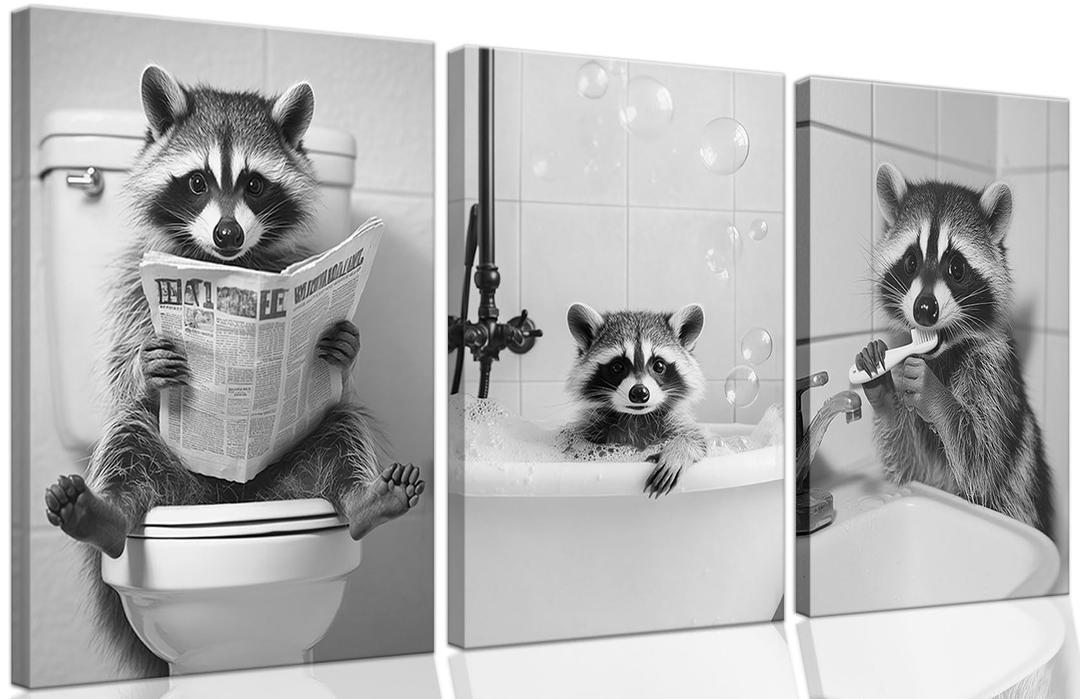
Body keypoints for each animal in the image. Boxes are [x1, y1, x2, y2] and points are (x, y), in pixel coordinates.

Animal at [42, 66, 424, 677]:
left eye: (254, 185)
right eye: (197, 182)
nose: (227, 234)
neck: (226, 267)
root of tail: (230, 503)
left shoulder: (287, 264)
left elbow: (340, 387)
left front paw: (343, 348)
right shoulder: (136, 283)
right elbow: (120, 374)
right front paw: (144, 367)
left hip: (292, 483)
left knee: (341, 427)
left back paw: (367, 498)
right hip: (171, 489)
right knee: (127, 440)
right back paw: (103, 511)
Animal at [562, 303, 708, 497]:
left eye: (659, 365)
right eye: (617, 366)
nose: (639, 392)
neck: (635, 417)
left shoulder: (673, 420)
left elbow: (697, 439)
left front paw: (680, 449)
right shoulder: (592, 424)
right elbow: (573, 445)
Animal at [855, 162, 1051, 536]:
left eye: (956, 267)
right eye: (911, 261)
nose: (924, 310)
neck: (940, 353)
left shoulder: (994, 371)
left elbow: (980, 462)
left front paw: (935, 397)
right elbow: (910, 466)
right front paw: (884, 393)